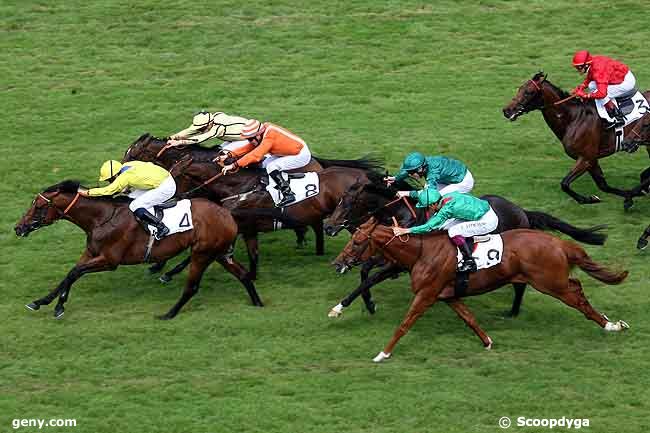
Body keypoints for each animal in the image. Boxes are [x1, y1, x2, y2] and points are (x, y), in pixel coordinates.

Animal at [13, 179, 260, 318]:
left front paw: (58, 307)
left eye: (39, 206)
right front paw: (42, 302)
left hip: (202, 253)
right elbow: (68, 275)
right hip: (219, 253)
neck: (101, 218)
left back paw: (168, 314)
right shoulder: (91, 253)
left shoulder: (109, 260)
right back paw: (258, 303)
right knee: (243, 275)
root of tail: (227, 214)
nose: (18, 228)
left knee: (192, 287)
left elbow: (74, 273)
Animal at [322, 181, 604, 316]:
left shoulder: (396, 263)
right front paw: (368, 304)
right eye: (339, 200)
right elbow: (364, 272)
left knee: (520, 284)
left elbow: (368, 278)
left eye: (347, 202)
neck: (401, 214)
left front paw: (343, 307)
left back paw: (512, 312)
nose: (328, 227)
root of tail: (522, 211)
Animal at [332, 216, 624, 362]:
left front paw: (383, 353)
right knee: (577, 287)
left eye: (356, 242)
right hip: (551, 280)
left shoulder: (426, 294)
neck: (421, 252)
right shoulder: (447, 295)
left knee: (577, 297)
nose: (337, 263)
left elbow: (404, 324)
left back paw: (611, 325)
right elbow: (469, 318)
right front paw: (488, 342)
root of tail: (558, 243)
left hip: (551, 283)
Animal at [498, 71, 644, 209]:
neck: (574, 118)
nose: (507, 110)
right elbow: (604, 186)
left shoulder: (585, 158)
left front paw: (587, 199)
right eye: (520, 89)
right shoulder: (592, 160)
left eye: (529, 92)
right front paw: (630, 195)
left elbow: (565, 183)